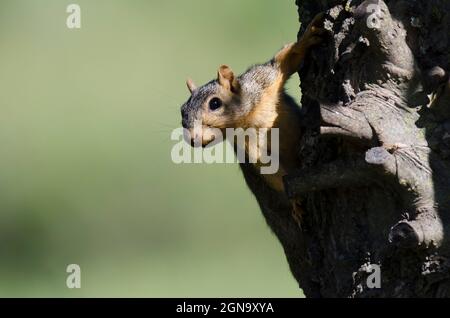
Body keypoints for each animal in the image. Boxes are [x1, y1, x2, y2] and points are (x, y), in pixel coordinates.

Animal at [181, 13, 326, 231]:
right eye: (182, 113)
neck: (249, 116)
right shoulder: (247, 146)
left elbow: (285, 61)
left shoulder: (264, 81)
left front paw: (307, 37)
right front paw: (295, 201)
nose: (193, 139)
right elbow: (269, 168)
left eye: (215, 103)